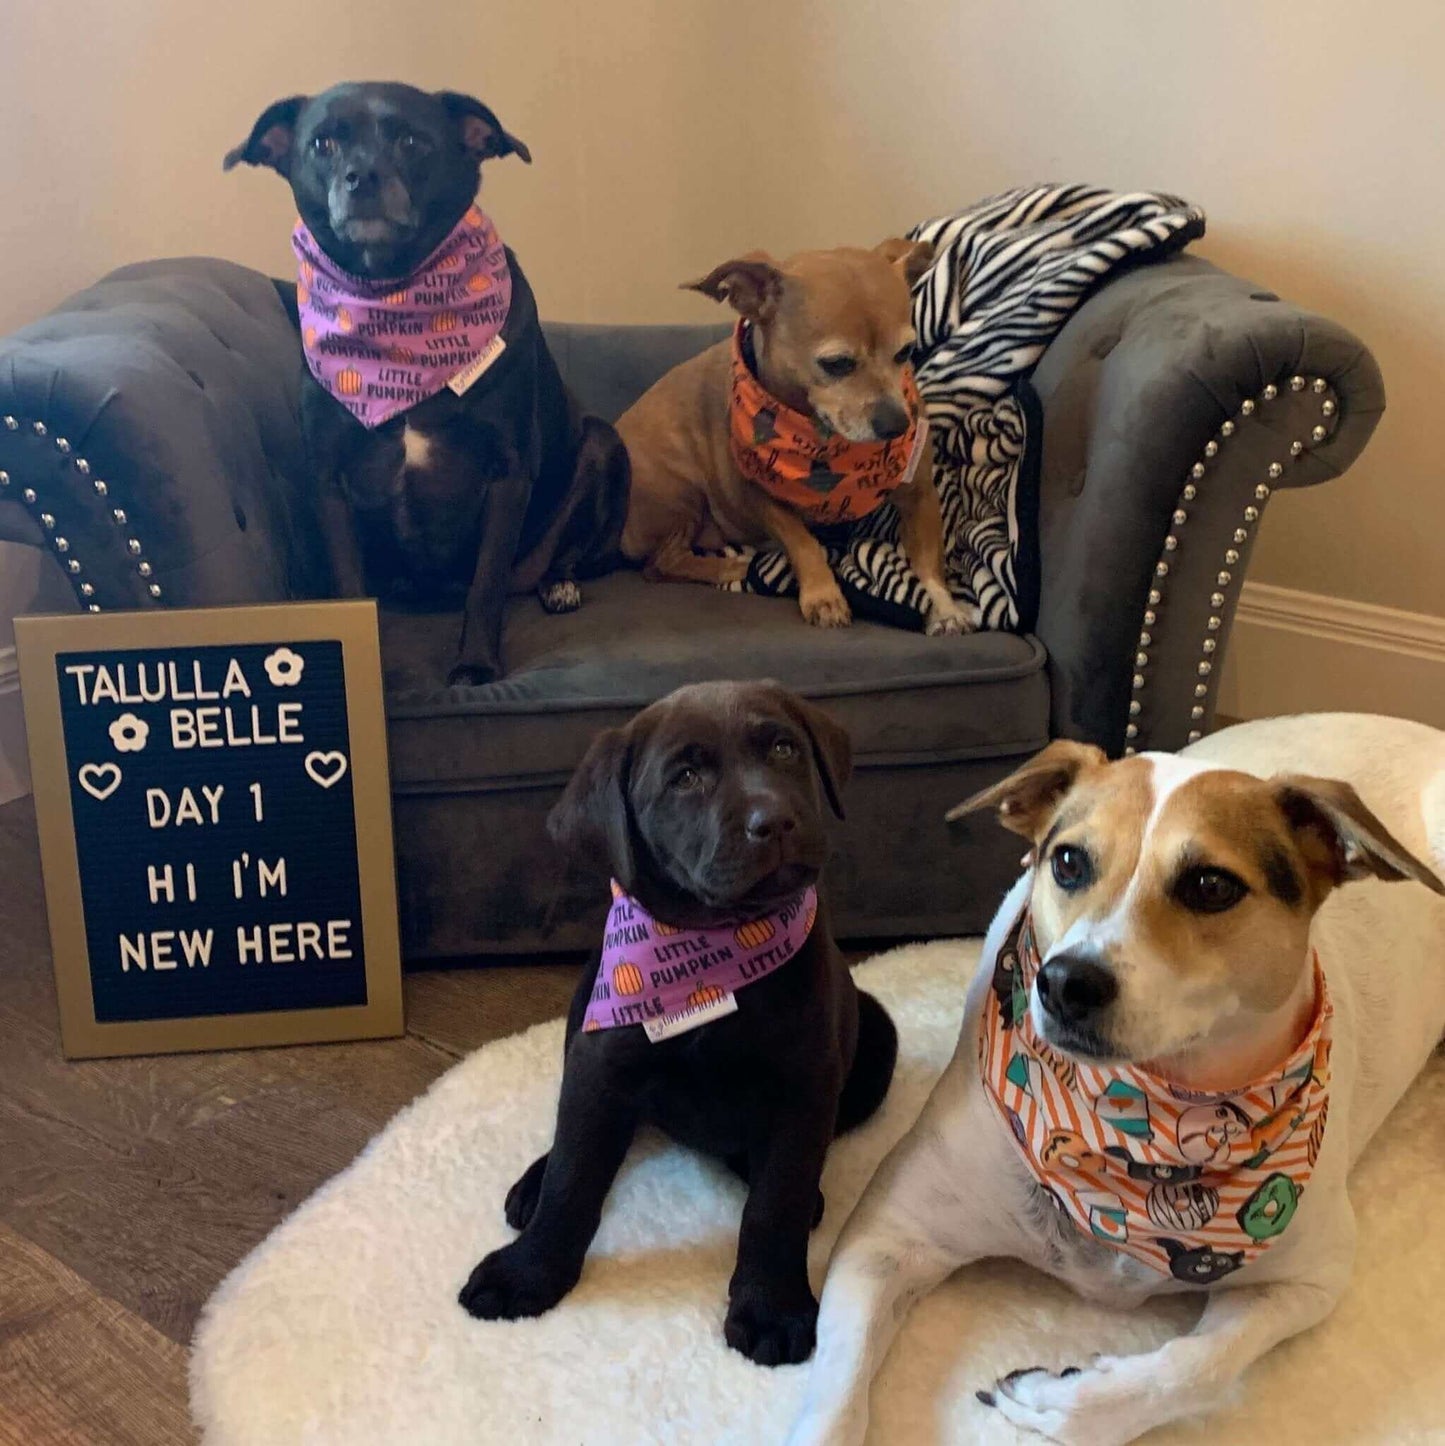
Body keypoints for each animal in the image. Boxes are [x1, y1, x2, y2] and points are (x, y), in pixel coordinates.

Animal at [225, 83, 627, 682]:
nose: (362, 177)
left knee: (566, 556)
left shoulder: (508, 471)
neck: (396, 303)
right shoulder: (329, 482)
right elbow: (349, 584)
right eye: (322, 143)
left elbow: (485, 586)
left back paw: (559, 585)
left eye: (412, 141)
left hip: (602, 444)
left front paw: (476, 666)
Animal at [457, 682, 896, 1359]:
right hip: (583, 1011)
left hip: (877, 1037)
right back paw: (533, 1182)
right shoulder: (600, 1064)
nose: (774, 822)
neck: (713, 956)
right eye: (685, 778)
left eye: (784, 748)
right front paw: (528, 1273)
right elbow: (575, 1173)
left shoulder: (806, 1083)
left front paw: (771, 1308)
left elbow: (778, 1199)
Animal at [792, 714, 1445, 1446]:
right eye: (1069, 862)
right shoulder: (886, 1238)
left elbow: (1199, 1364)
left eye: (1210, 885)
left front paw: (1061, 1401)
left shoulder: (1310, 1279)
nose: (1065, 984)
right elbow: (838, 1388)